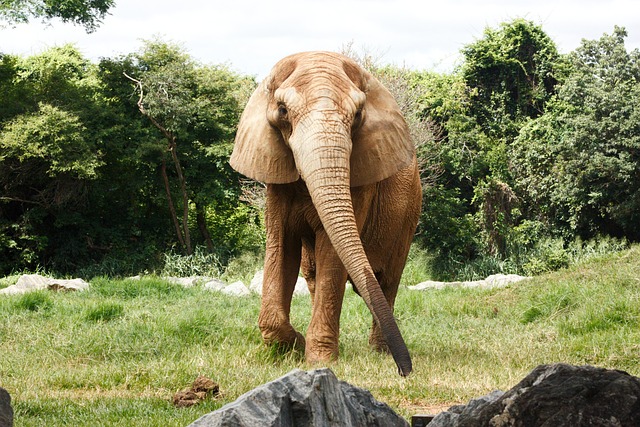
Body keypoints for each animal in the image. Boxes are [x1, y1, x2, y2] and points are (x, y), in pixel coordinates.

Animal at [229, 52, 420, 378]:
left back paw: (379, 351)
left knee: (388, 280)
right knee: (314, 275)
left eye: (358, 115)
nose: (405, 371)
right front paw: (293, 345)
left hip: (409, 212)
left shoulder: (361, 179)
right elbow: (282, 248)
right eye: (282, 111)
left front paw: (318, 359)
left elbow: (332, 251)